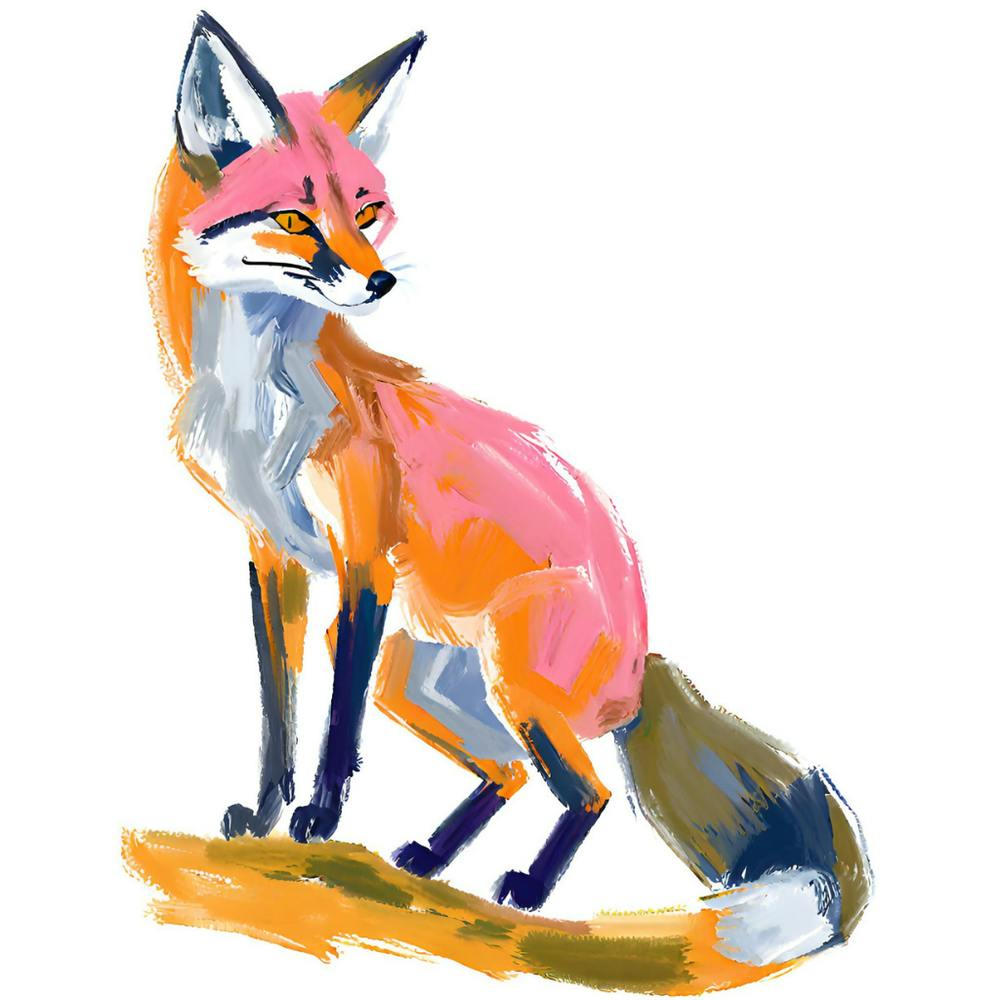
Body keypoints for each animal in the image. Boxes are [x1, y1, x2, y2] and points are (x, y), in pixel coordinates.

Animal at [147, 11, 872, 989]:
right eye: (295, 219)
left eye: (367, 209)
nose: (378, 281)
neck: (259, 410)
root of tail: (642, 649)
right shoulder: (273, 558)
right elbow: (279, 711)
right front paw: (265, 816)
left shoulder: (362, 561)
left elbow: (333, 731)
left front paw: (319, 823)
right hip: (422, 680)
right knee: (513, 774)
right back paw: (430, 858)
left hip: (506, 685)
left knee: (586, 789)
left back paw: (522, 887)